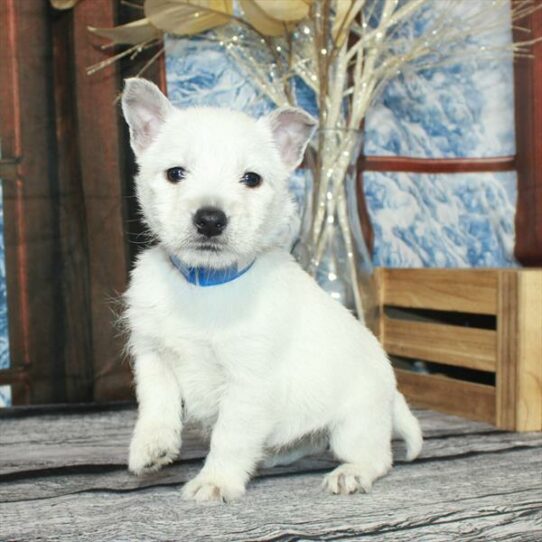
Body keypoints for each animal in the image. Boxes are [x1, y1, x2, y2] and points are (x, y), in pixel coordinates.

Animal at [121, 78, 422, 504]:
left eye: (251, 179)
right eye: (175, 173)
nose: (210, 219)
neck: (206, 283)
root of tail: (392, 395)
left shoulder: (248, 383)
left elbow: (229, 437)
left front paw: (216, 480)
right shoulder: (153, 356)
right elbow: (156, 405)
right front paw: (151, 447)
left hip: (354, 427)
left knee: (378, 458)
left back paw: (350, 474)